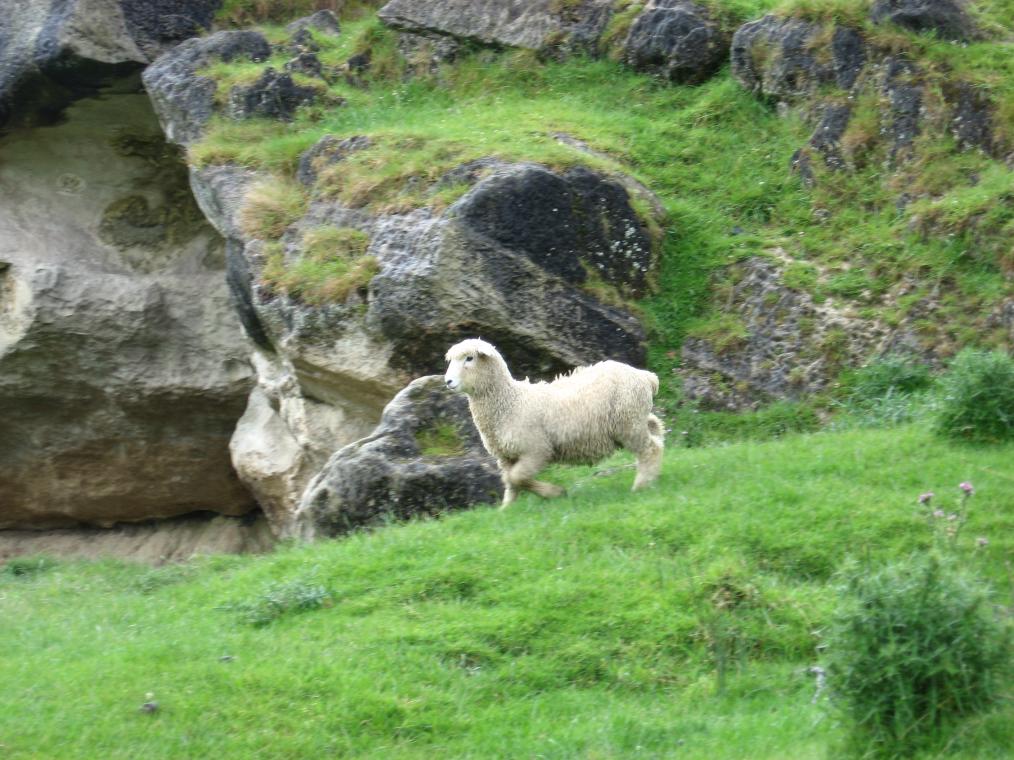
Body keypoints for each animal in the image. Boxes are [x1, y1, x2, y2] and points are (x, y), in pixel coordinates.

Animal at [444, 338, 664, 507]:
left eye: (469, 358)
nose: (447, 381)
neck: (511, 401)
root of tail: (646, 376)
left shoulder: (536, 449)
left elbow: (518, 477)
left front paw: (555, 492)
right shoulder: (505, 456)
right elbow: (511, 480)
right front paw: (506, 509)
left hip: (628, 423)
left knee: (650, 449)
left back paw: (640, 486)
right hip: (636, 418)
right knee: (656, 434)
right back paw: (652, 477)